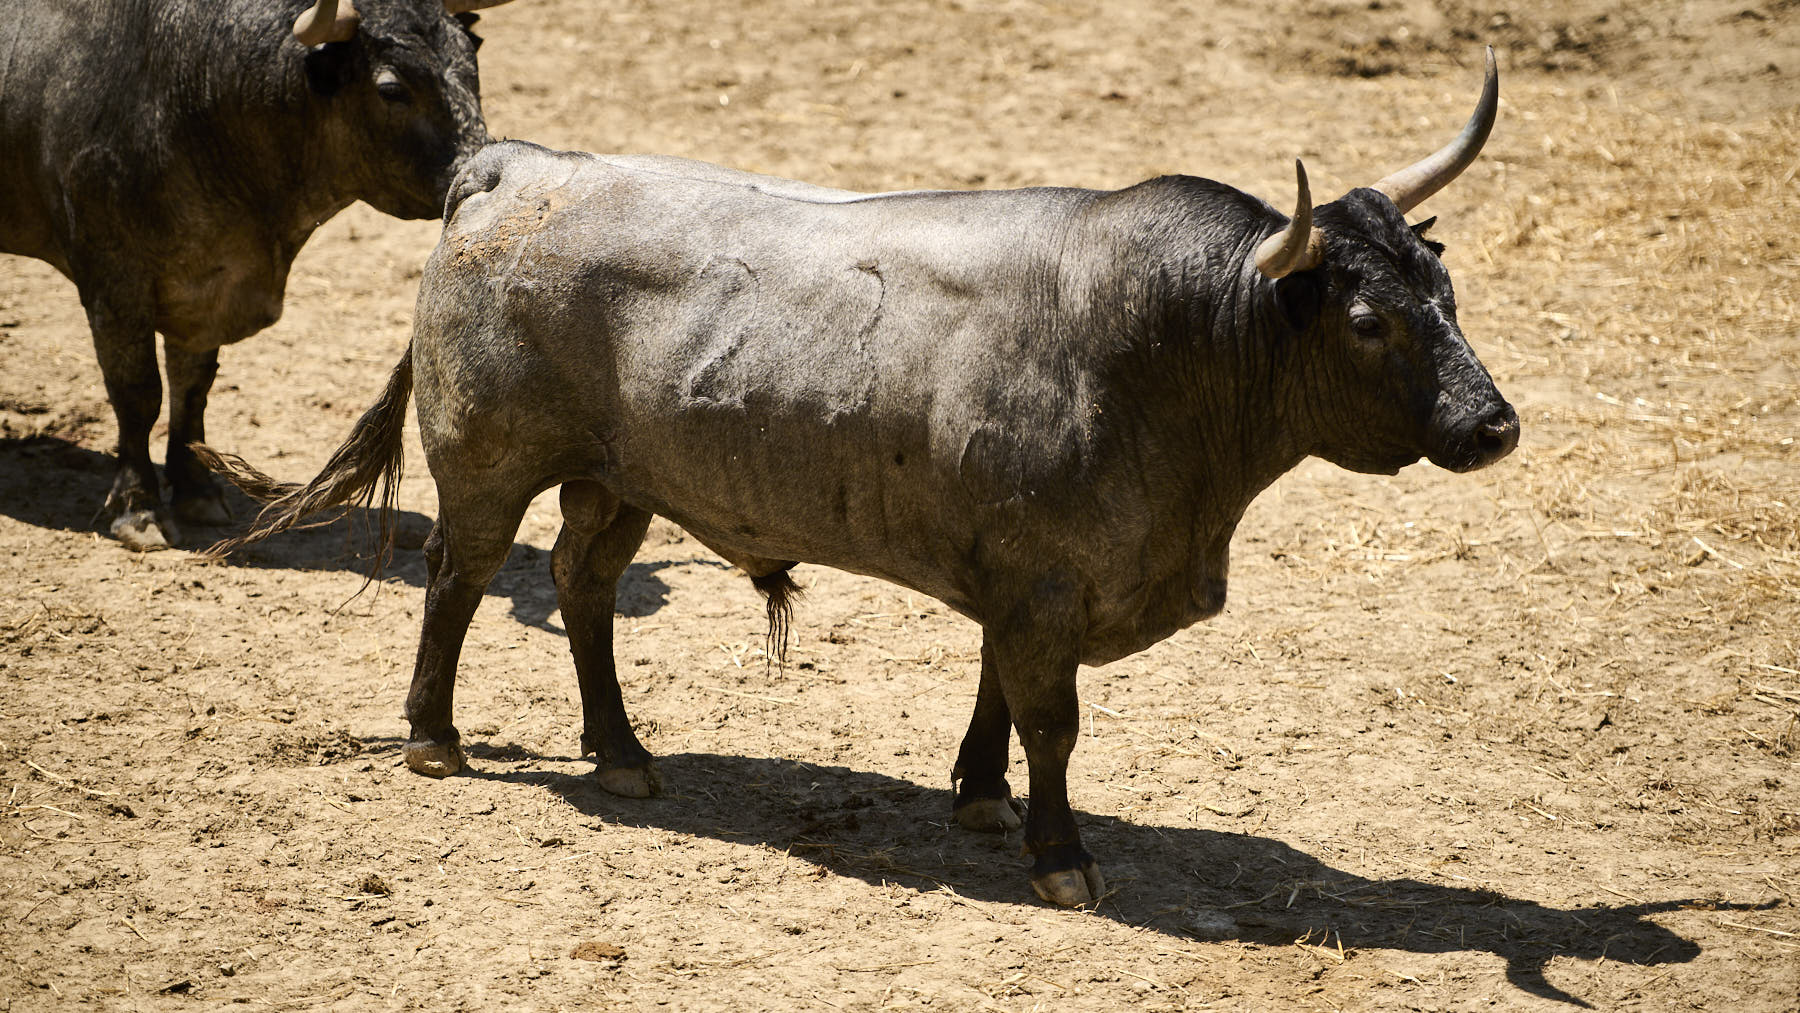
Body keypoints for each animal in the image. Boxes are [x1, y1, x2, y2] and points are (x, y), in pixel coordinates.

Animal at [0, 0, 514, 550]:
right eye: (392, 89)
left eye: (472, 68)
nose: (483, 172)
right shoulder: (113, 284)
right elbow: (137, 394)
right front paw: (139, 507)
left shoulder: (209, 286)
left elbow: (192, 389)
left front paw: (197, 490)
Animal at [197, 47, 1519, 906]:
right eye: (1366, 320)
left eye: (1445, 292)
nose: (1493, 424)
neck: (1163, 344)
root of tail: (512, 167)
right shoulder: (1046, 588)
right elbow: (1052, 717)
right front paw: (1060, 854)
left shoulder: (1021, 581)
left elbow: (999, 691)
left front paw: (979, 793)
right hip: (487, 463)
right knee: (460, 576)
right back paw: (434, 734)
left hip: (616, 478)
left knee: (581, 584)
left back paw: (621, 751)